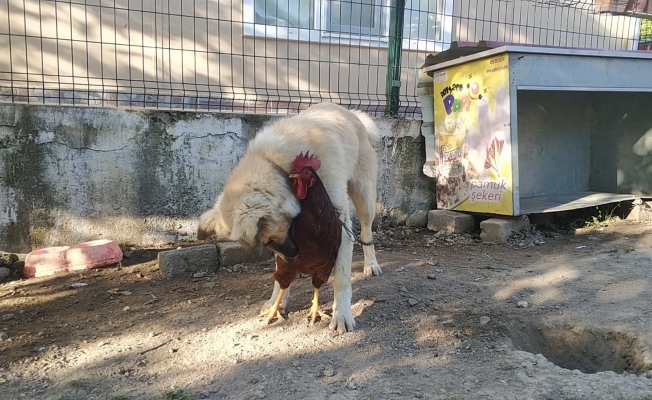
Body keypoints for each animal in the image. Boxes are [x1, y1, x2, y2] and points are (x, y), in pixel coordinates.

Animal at [199, 102, 382, 332]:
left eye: (268, 239)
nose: (293, 256)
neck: (278, 166)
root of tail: (350, 112)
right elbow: (281, 275)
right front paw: (276, 303)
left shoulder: (338, 222)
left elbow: (342, 278)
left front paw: (342, 315)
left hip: (364, 197)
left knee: (366, 231)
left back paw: (371, 264)